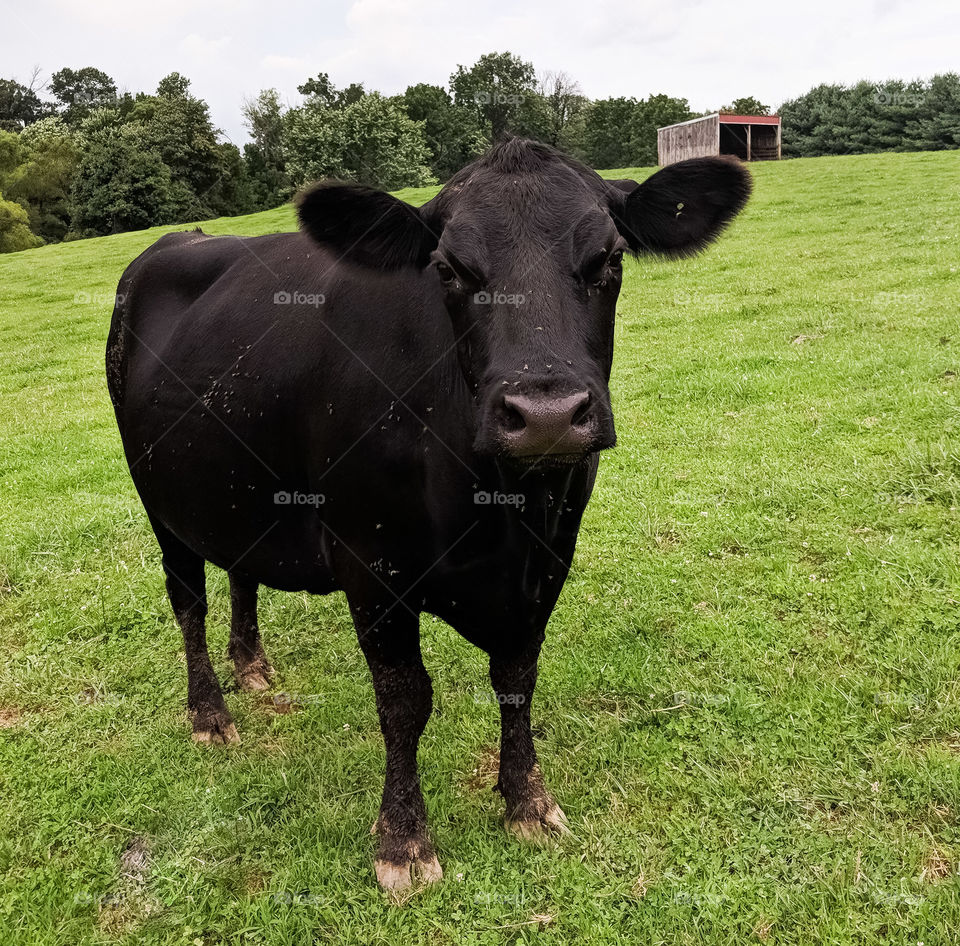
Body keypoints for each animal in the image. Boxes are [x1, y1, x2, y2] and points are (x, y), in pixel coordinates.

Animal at [107, 138, 750, 891]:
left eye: (609, 258)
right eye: (449, 269)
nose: (547, 414)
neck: (504, 515)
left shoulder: (549, 559)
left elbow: (517, 680)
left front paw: (527, 801)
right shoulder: (370, 565)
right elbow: (405, 701)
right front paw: (404, 840)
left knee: (241, 567)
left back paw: (253, 664)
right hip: (158, 500)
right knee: (188, 600)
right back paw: (209, 711)